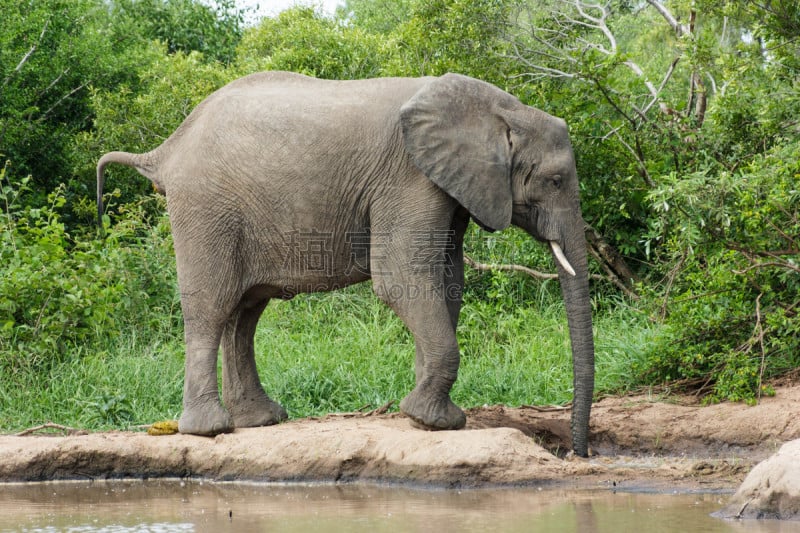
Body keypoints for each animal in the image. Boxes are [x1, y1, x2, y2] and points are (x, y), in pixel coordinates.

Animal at [97, 69, 592, 454]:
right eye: (554, 180)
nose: (576, 453)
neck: (504, 109)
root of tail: (166, 150)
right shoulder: (411, 179)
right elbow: (401, 278)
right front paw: (431, 420)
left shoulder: (448, 188)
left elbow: (446, 282)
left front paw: (428, 414)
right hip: (205, 208)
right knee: (211, 307)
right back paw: (209, 430)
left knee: (245, 311)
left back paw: (261, 419)